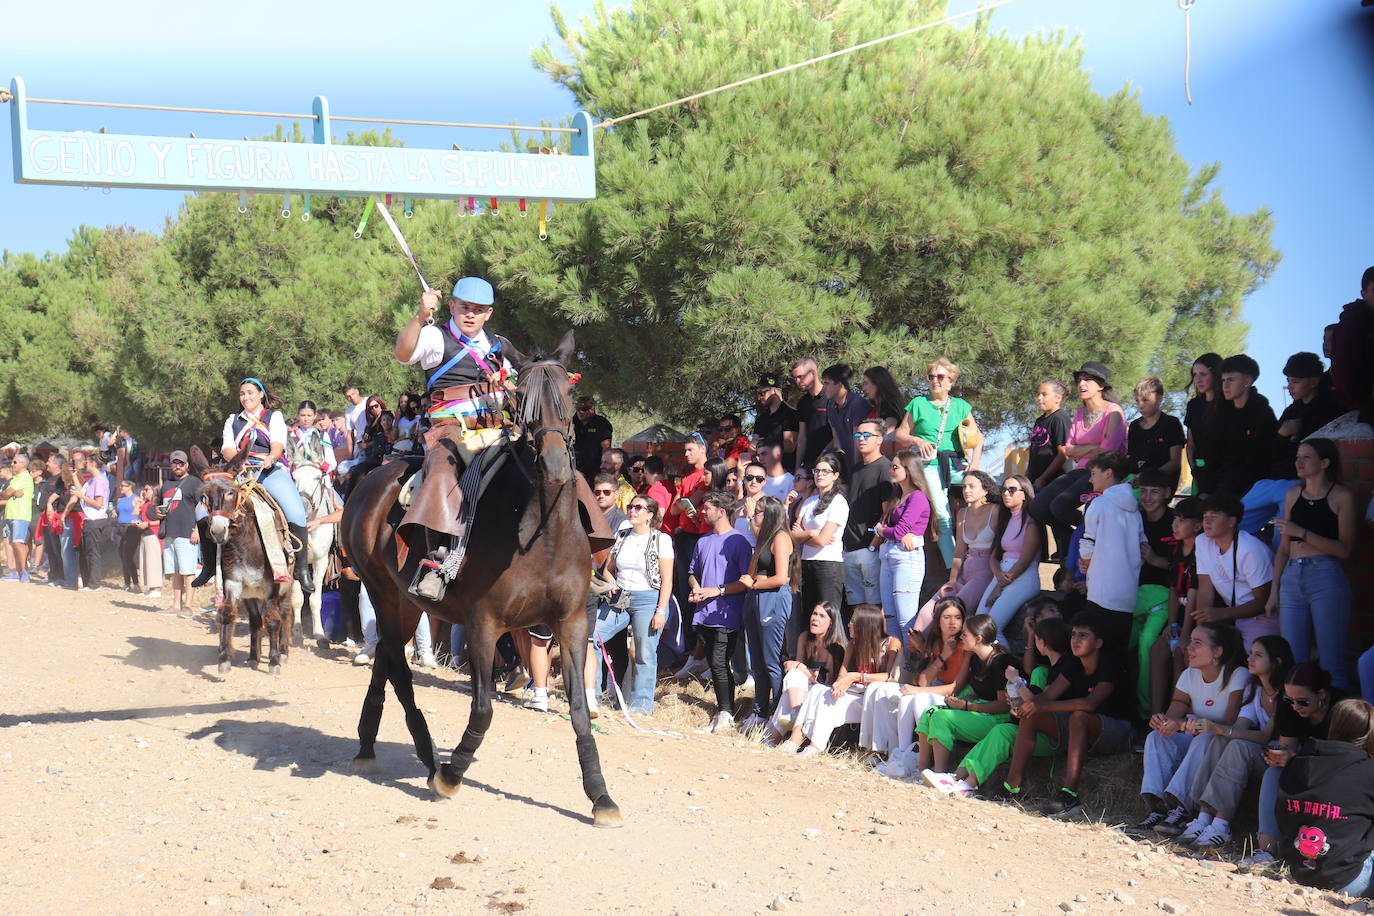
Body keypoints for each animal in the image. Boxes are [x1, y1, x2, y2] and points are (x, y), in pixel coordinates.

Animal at [190, 447, 295, 678]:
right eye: (204, 496)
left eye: (231, 492)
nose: (218, 530)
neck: (247, 544)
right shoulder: (234, 582)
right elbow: (227, 615)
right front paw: (224, 660)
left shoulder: (273, 586)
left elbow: (273, 620)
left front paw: (274, 661)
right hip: (251, 594)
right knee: (255, 620)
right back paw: (254, 657)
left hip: (288, 585)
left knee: (285, 613)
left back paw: (283, 652)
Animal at [291, 466, 336, 645]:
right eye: (293, 477)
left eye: (318, 477)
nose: (302, 506)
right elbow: (297, 599)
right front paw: (296, 634)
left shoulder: (321, 561)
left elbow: (315, 600)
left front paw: (319, 635)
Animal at [338, 333, 623, 829]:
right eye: (521, 401)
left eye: (568, 398)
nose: (555, 465)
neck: (541, 533)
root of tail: (371, 478)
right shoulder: (483, 624)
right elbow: (485, 708)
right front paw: (452, 773)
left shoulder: (571, 624)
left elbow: (579, 711)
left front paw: (599, 795)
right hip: (383, 593)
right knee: (398, 669)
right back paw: (427, 757)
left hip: (403, 604)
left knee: (386, 660)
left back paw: (370, 743)